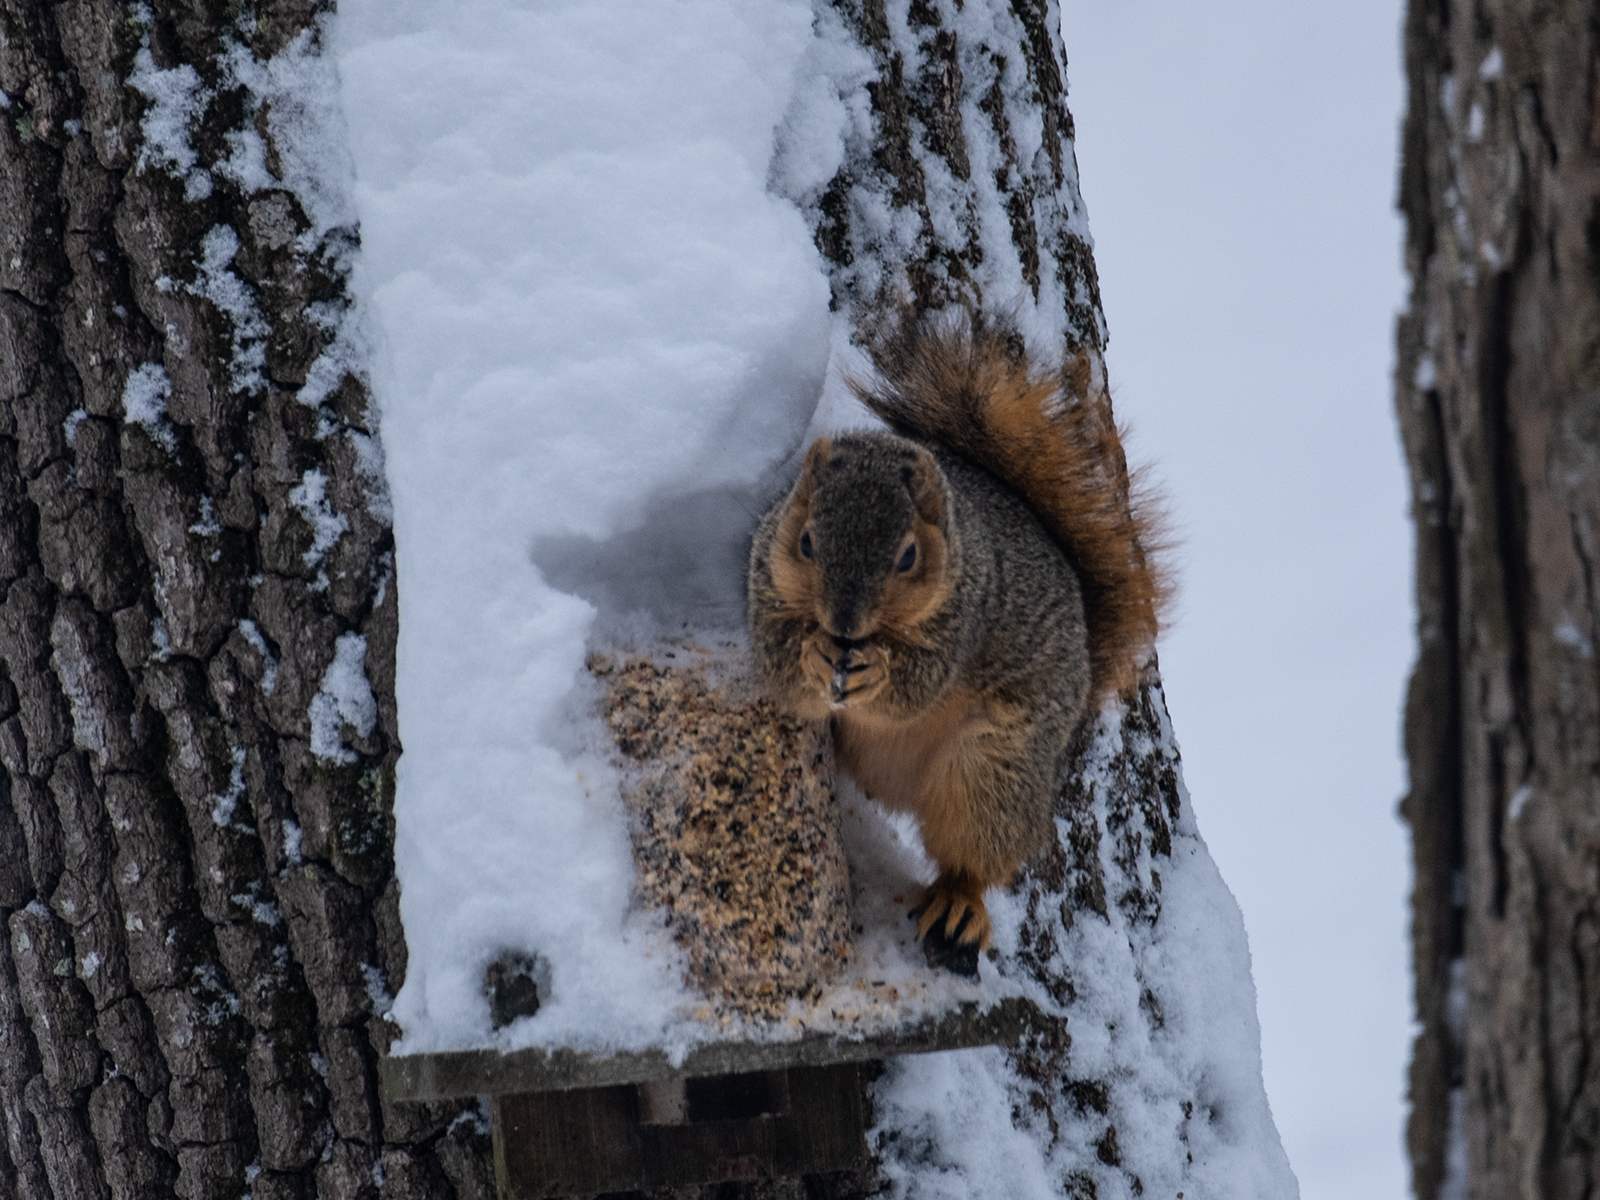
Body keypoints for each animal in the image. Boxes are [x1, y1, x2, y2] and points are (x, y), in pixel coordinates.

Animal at [746, 307, 1169, 951]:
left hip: (994, 774)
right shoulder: (764, 580)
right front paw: (813, 655)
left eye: (907, 556)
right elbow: (778, 663)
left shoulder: (967, 616)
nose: (844, 622)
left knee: (973, 856)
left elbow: (916, 686)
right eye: (807, 542)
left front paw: (876, 670)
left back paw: (958, 903)